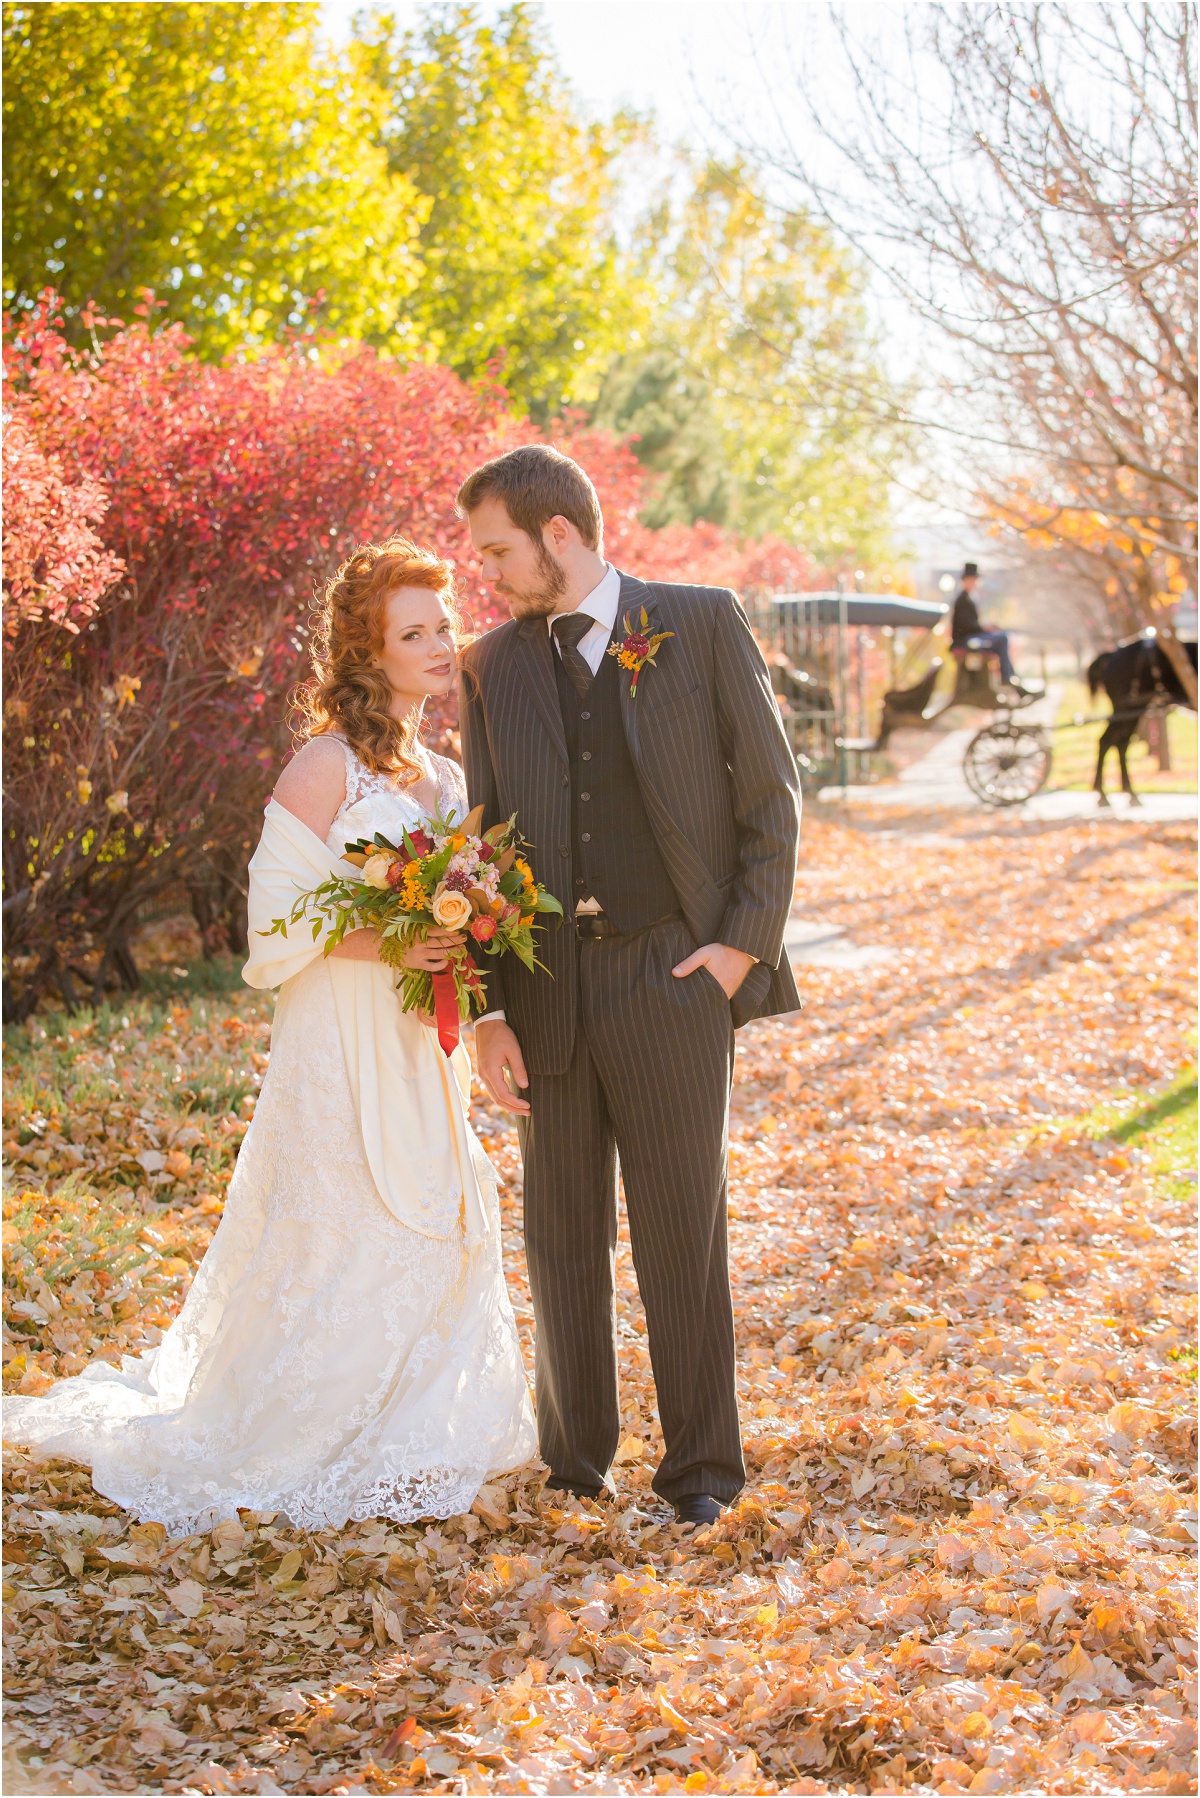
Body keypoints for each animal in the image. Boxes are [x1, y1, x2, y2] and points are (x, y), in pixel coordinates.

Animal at [1086, 632, 1194, 801]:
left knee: (1120, 742)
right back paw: (1103, 792)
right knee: (1106, 740)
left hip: (1133, 711)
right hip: (1124, 708)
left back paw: (1128, 792)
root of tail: (1113, 654)